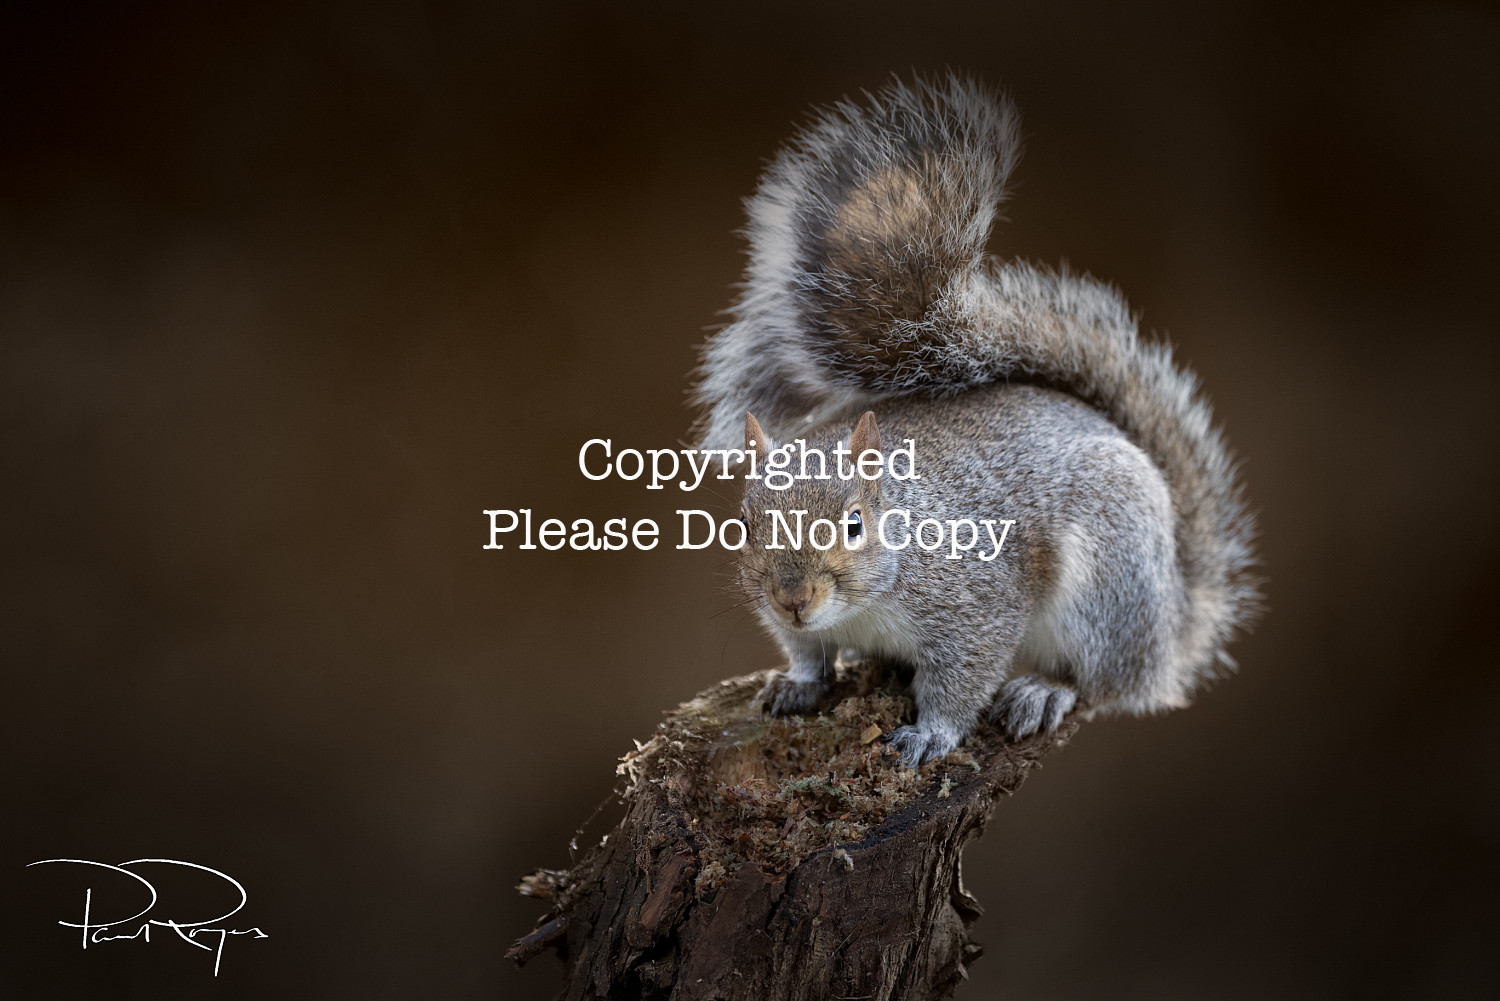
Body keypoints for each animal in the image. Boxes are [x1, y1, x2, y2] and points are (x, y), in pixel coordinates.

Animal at [690, 75, 1260, 766]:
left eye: (854, 523)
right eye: (744, 526)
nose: (793, 598)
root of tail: (1173, 627)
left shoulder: (976, 605)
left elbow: (964, 679)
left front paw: (930, 734)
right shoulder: (799, 624)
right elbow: (806, 652)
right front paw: (798, 683)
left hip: (1108, 582)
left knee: (1103, 681)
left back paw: (1046, 690)